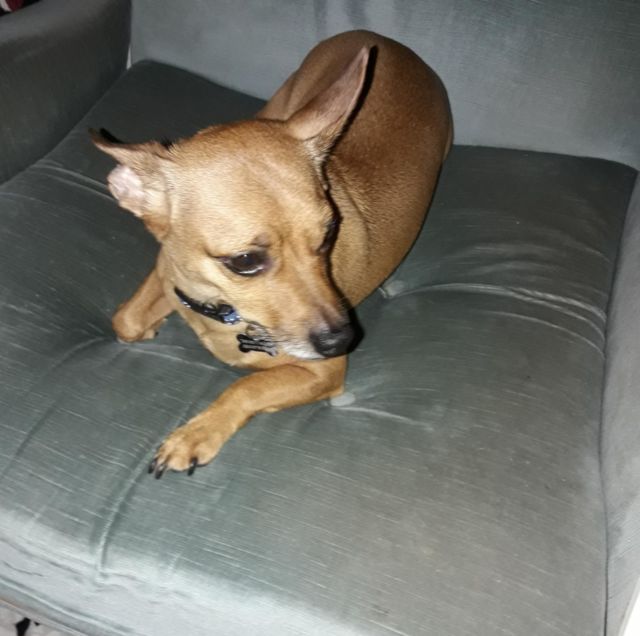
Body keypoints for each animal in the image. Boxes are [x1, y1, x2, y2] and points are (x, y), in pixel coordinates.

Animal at [91, 30, 451, 477]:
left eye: (330, 233)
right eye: (245, 262)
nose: (343, 339)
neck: (221, 311)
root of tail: (380, 39)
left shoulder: (323, 372)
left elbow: (249, 385)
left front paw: (196, 434)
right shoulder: (165, 271)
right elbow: (126, 319)